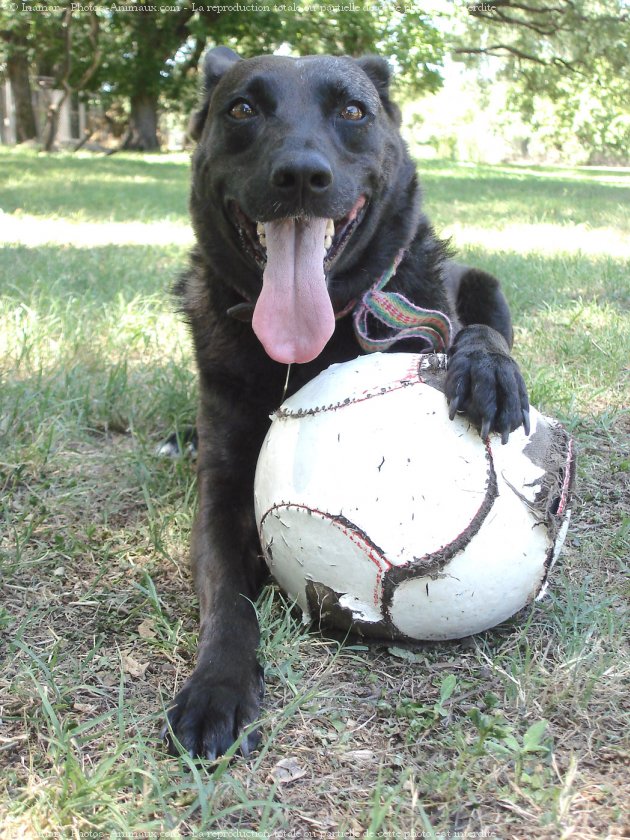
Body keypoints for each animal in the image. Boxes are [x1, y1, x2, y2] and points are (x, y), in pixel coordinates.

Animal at [165, 46, 532, 760]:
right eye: (241, 108)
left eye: (353, 111)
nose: (302, 177)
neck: (307, 348)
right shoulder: (221, 489)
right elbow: (227, 596)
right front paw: (217, 685)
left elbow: (471, 336)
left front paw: (486, 370)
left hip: (484, 281)